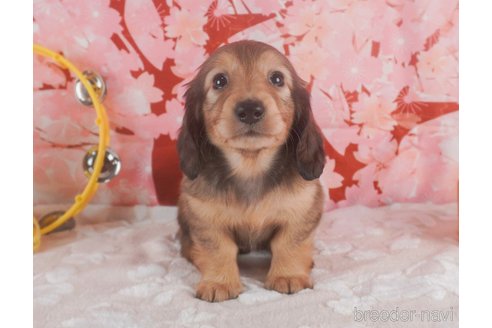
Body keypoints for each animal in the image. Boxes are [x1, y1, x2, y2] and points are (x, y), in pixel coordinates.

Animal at [177, 39, 326, 302]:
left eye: (277, 78)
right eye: (219, 81)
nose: (249, 109)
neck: (251, 167)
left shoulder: (304, 208)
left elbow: (289, 243)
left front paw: (288, 275)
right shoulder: (203, 216)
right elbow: (218, 249)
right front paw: (219, 282)